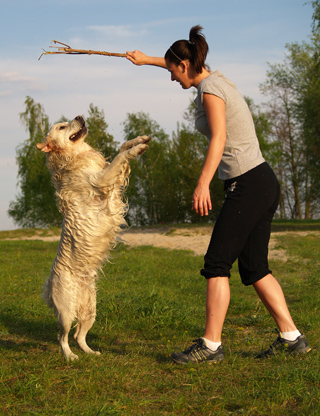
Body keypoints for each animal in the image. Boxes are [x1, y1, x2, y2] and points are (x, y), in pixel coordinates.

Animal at [36, 115, 150, 360]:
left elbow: (121, 148)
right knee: (62, 337)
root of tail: (50, 284)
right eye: (62, 126)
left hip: (90, 310)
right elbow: (119, 156)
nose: (79, 116)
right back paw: (70, 356)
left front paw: (139, 140)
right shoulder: (101, 179)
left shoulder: (110, 177)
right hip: (67, 311)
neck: (75, 156)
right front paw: (137, 149)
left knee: (79, 335)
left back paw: (91, 352)